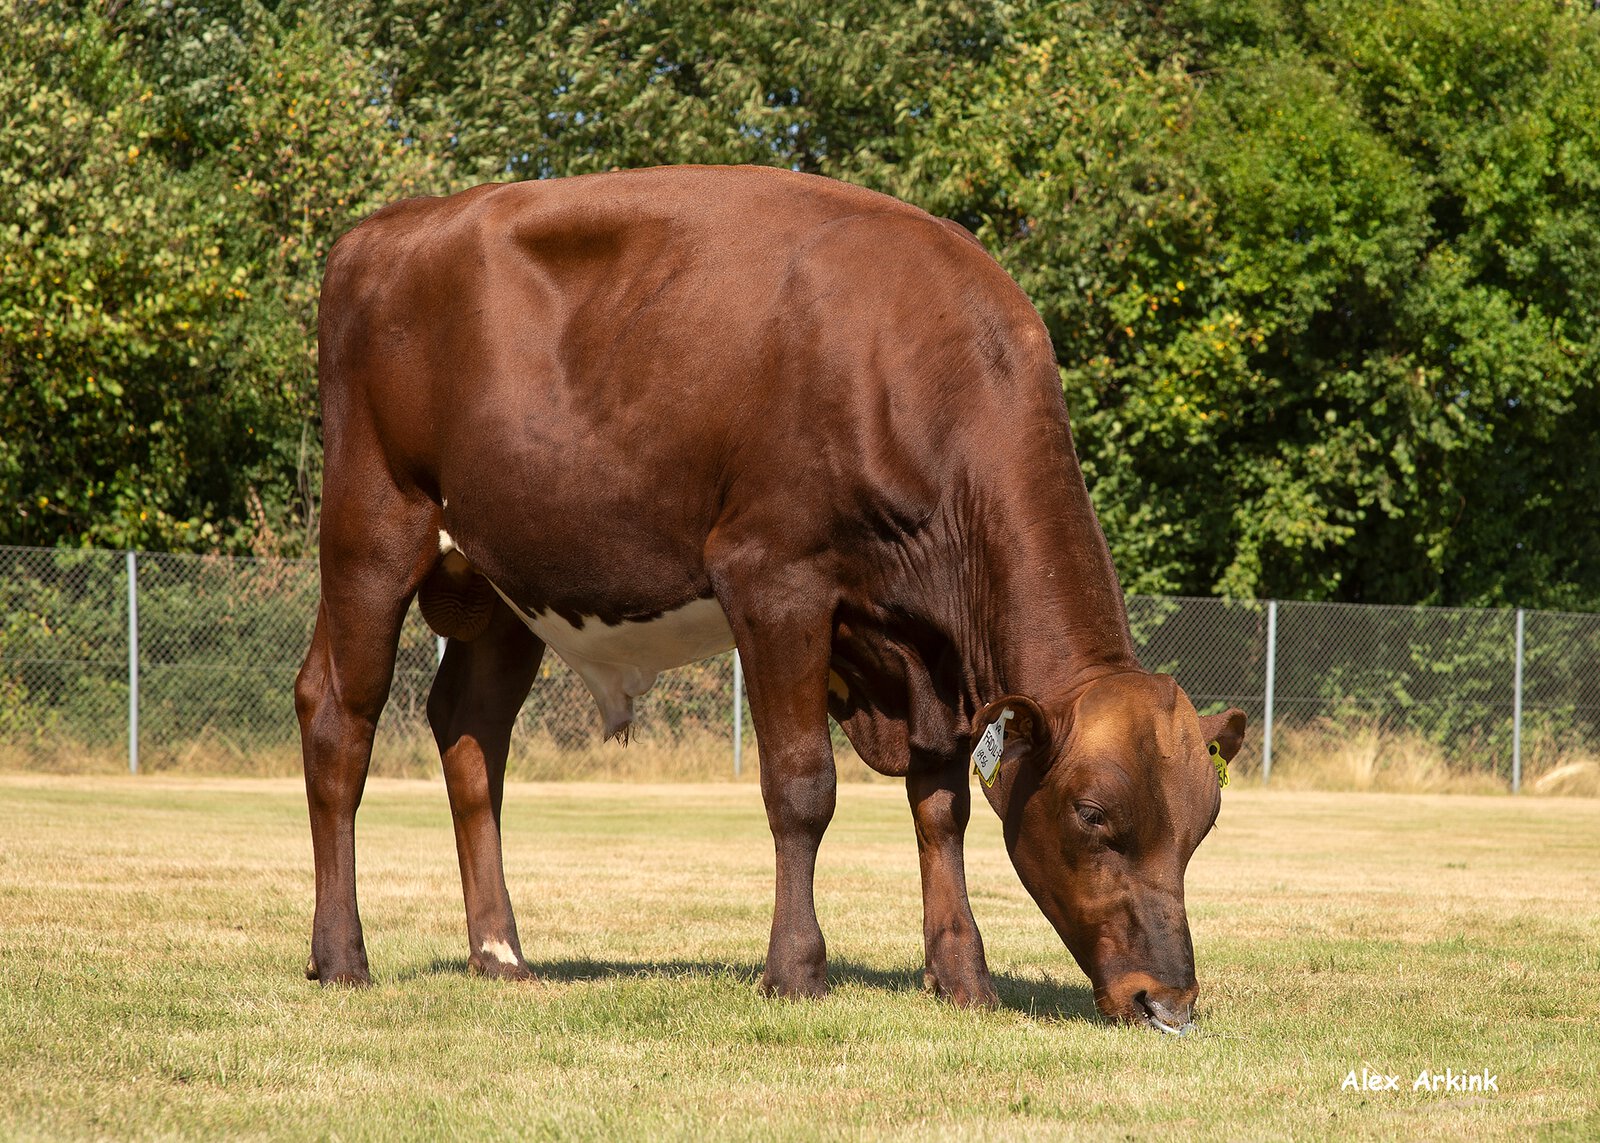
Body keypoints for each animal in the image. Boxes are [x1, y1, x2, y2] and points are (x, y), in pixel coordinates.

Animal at [296, 164, 1247, 1033]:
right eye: (1092, 814)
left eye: (1204, 825)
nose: (1167, 1000)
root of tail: (382, 230)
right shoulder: (776, 581)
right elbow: (801, 785)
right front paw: (795, 969)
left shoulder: (927, 657)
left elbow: (942, 806)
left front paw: (963, 976)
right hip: (371, 529)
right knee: (341, 719)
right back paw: (342, 957)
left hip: (503, 584)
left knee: (470, 734)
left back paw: (500, 953)